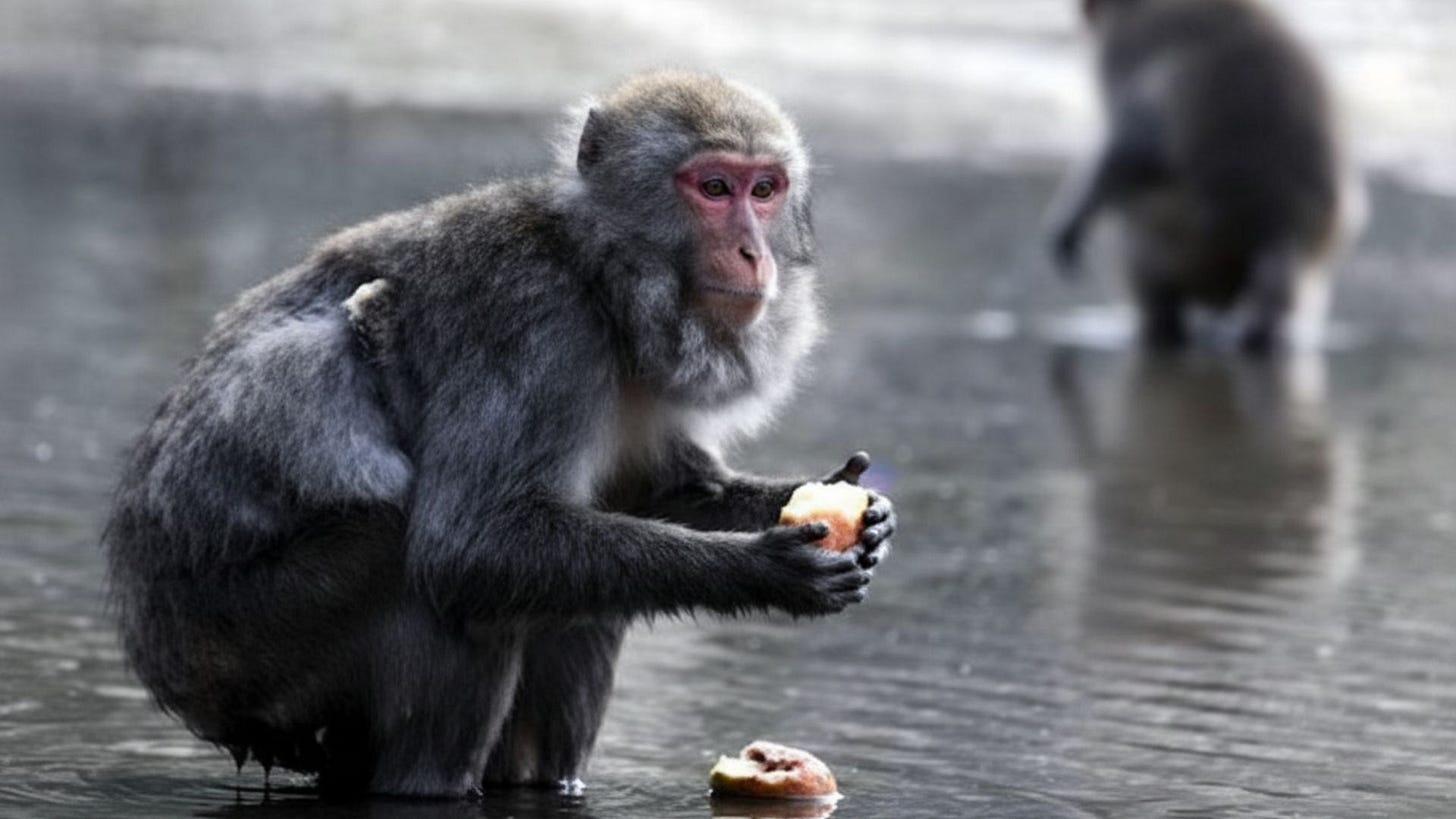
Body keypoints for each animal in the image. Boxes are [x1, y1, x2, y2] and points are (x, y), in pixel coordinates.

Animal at [102, 71, 896, 798]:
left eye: (765, 190)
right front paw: (763, 567)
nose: (754, 254)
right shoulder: (533, 323)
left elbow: (659, 491)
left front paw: (856, 511)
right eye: (713, 187)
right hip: (247, 650)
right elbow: (470, 542)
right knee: (417, 571)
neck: (600, 277)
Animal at [1047, 0, 1362, 351]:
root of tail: (1281, 232)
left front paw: (1070, 225)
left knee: (1139, 233)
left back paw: (1165, 326)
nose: (1083, 10)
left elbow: (1135, 143)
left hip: (1187, 249)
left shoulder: (1126, 50)